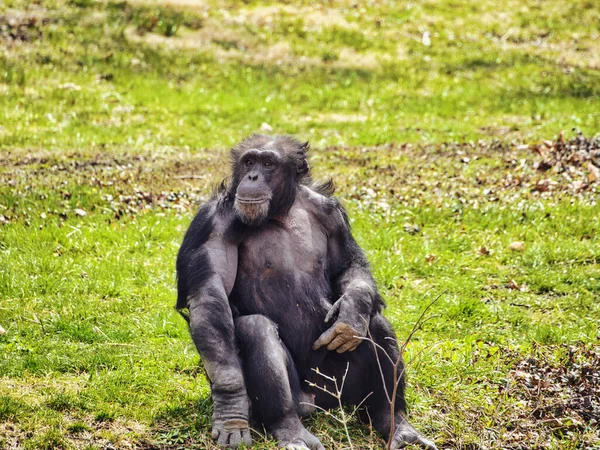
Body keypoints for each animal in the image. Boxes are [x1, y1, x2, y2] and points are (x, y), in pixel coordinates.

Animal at [175, 134, 436, 450]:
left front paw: (351, 314)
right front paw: (230, 409)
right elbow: (210, 295)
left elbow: (347, 265)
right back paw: (290, 430)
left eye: (268, 163)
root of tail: (315, 405)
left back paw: (395, 421)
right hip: (300, 398)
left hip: (339, 391)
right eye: (249, 162)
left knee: (375, 323)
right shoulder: (212, 223)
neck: (280, 212)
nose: (252, 176)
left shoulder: (332, 214)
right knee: (256, 329)